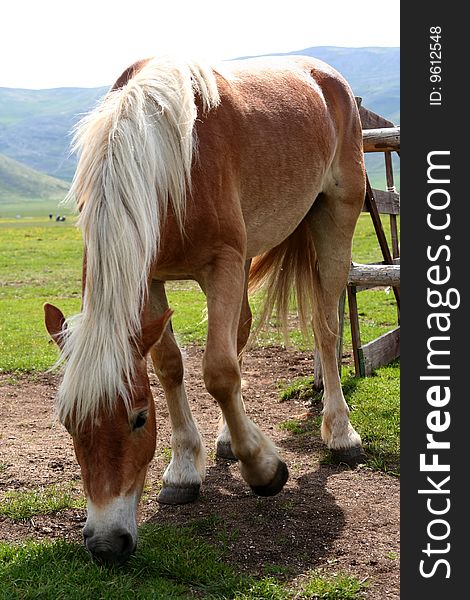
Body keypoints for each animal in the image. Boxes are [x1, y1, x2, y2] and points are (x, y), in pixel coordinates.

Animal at [44, 54, 368, 564]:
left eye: (139, 418)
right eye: (69, 423)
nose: (105, 544)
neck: (167, 160)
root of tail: (325, 76)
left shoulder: (223, 265)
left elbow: (218, 370)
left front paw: (265, 469)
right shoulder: (152, 277)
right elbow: (170, 365)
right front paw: (183, 471)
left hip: (336, 217)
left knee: (324, 328)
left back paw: (339, 434)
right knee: (243, 330)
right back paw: (230, 438)